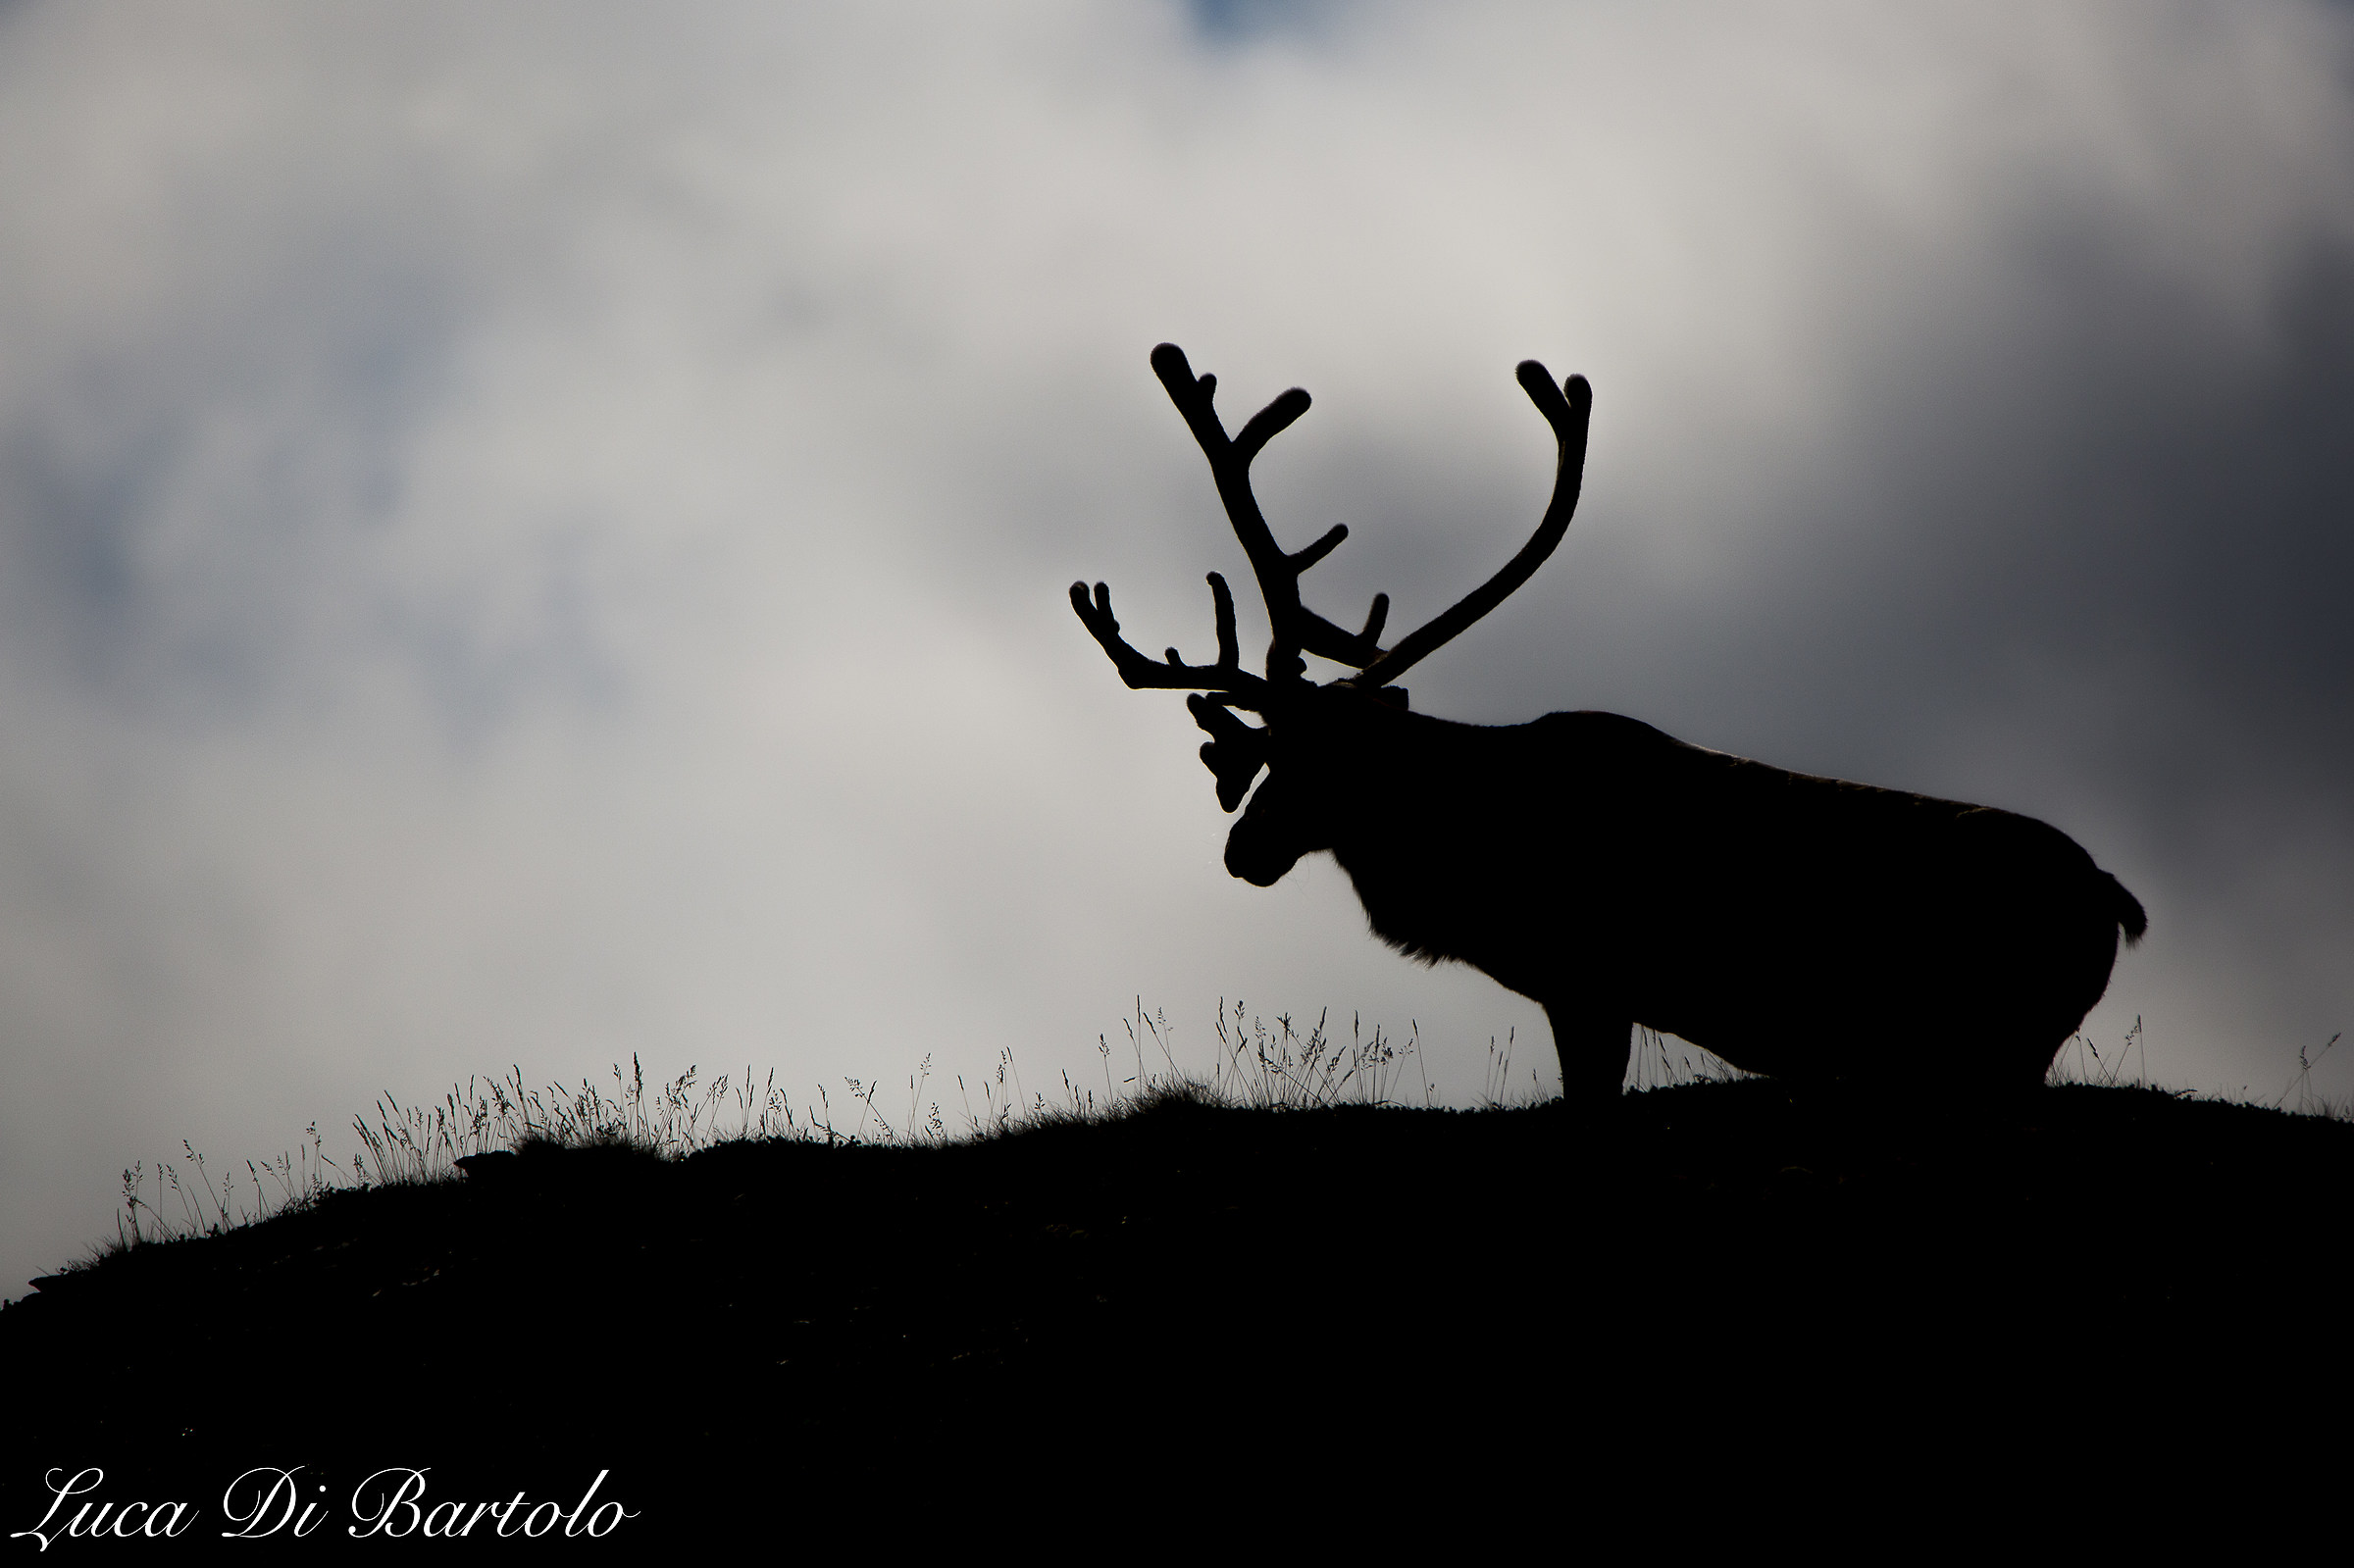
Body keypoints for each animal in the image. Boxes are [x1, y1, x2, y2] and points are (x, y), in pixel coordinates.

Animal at [1073, 343, 2147, 1106]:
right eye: (1265, 754)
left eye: (1332, 758)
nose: (1242, 850)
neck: (1471, 858)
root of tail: (2114, 897)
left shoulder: (1590, 981)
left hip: (2002, 1042)